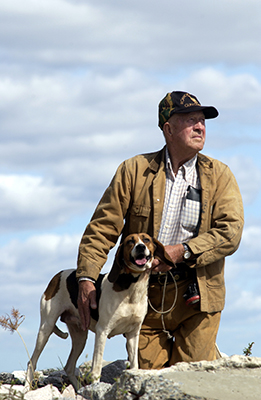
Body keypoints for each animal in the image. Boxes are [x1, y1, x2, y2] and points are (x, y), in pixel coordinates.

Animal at [25, 233, 173, 390]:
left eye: (146, 239)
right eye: (130, 241)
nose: (140, 247)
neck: (132, 289)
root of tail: (57, 275)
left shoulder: (133, 334)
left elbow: (134, 365)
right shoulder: (102, 331)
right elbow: (96, 369)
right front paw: (96, 388)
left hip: (80, 337)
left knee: (69, 366)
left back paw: (79, 389)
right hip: (46, 329)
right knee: (32, 362)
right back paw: (27, 387)